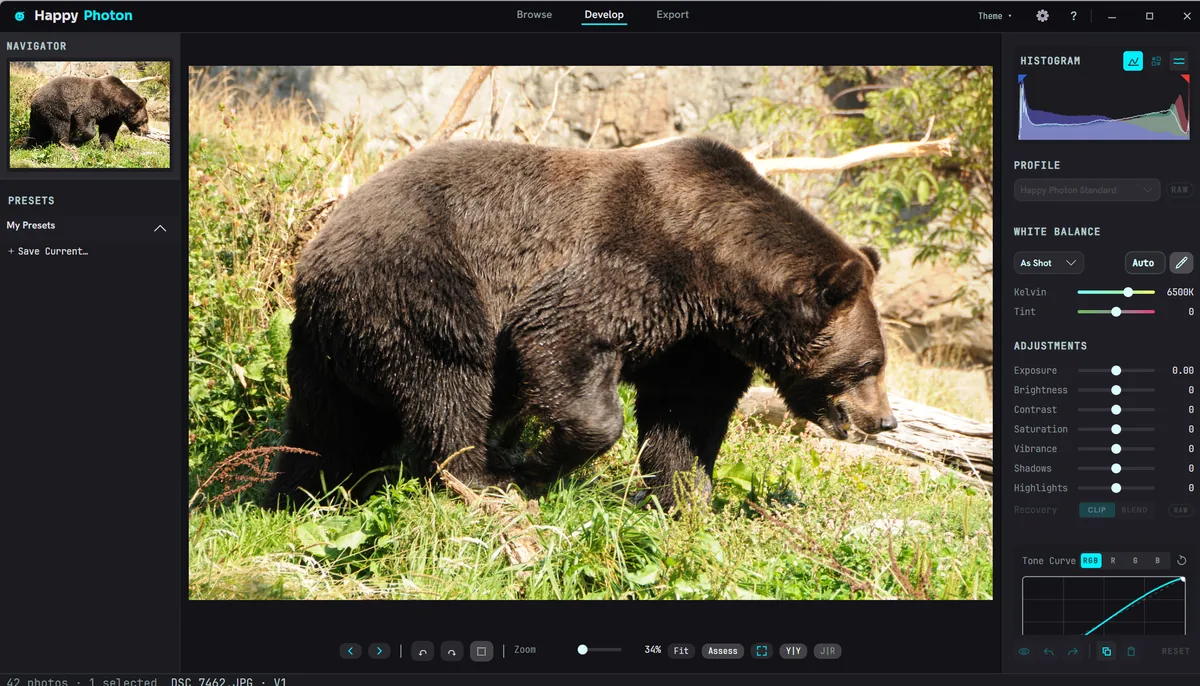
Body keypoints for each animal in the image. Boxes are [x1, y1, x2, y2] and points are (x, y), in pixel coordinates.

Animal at [22, 75, 150, 149]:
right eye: (145, 121)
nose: (147, 131)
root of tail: (34, 98)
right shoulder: (98, 101)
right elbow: (84, 115)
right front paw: (78, 140)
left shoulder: (111, 116)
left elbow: (108, 132)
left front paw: (109, 148)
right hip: (56, 105)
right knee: (62, 125)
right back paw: (67, 144)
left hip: (39, 115)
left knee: (37, 131)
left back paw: (32, 145)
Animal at [265, 137, 897, 510]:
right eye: (871, 364)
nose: (884, 420)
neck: (716, 270)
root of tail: (315, 255)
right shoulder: (627, 266)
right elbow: (560, 337)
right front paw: (538, 464)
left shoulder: (695, 344)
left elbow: (685, 418)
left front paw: (687, 499)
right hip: (418, 287)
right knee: (449, 384)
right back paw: (478, 479)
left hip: (327, 343)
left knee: (328, 426)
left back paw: (300, 494)